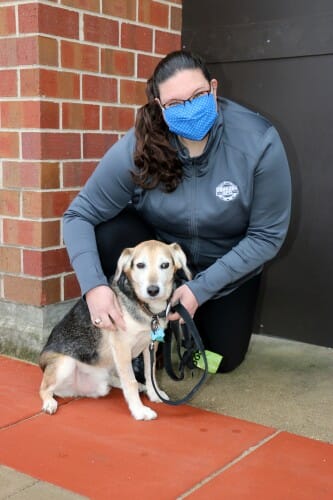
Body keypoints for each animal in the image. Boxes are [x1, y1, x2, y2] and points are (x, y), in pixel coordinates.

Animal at [38, 240, 191, 420]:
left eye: (165, 265)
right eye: (140, 265)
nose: (153, 290)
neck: (146, 308)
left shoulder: (151, 346)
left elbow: (150, 373)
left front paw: (155, 394)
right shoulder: (121, 346)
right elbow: (131, 381)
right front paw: (139, 411)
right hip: (65, 364)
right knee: (44, 388)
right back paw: (49, 403)